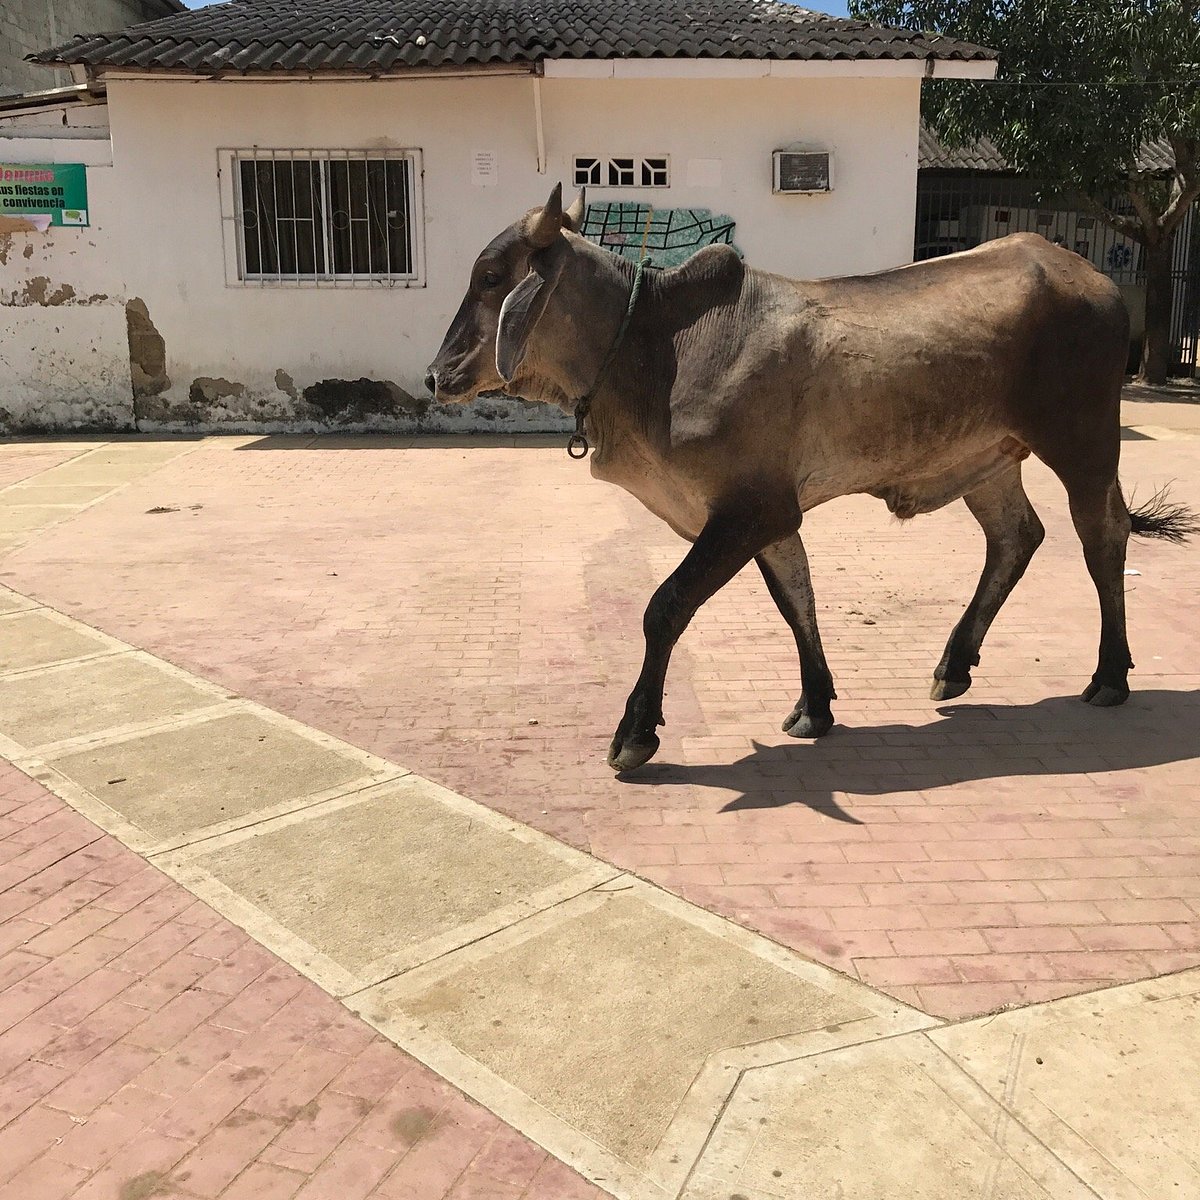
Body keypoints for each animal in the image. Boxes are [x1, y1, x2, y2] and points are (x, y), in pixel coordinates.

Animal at [427, 183, 1195, 772]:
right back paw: (954, 664)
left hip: (1082, 442)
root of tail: (1091, 276)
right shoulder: (769, 514)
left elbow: (666, 606)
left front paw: (635, 734)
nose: (437, 375)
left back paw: (1109, 674)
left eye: (491, 277)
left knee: (1103, 539)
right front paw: (815, 704)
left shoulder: (749, 509)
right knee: (1017, 536)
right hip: (988, 458)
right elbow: (797, 599)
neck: (651, 347)